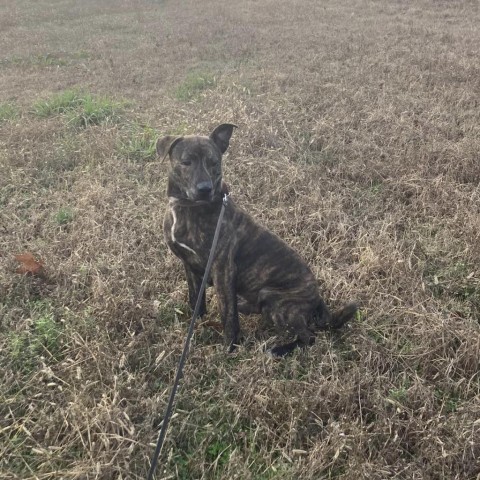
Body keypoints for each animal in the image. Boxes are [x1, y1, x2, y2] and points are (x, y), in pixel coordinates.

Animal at [158, 124, 356, 356]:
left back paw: (279, 351)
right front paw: (197, 322)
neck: (188, 207)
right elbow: (195, 299)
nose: (205, 189)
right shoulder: (189, 265)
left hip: (274, 298)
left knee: (309, 336)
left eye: (214, 162)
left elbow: (228, 316)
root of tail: (318, 299)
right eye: (186, 162)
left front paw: (229, 349)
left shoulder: (222, 269)